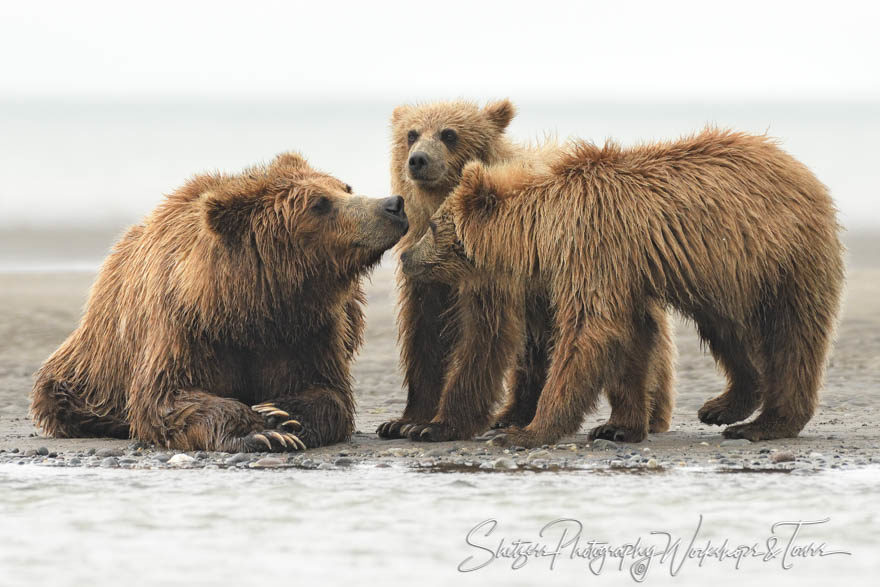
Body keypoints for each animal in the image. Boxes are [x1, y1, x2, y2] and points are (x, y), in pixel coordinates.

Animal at [30, 152, 410, 450]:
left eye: (344, 188)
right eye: (320, 204)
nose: (393, 204)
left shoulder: (305, 331)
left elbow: (328, 392)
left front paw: (281, 414)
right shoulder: (186, 329)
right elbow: (167, 396)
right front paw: (260, 433)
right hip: (92, 365)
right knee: (63, 395)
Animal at [400, 131, 844, 448]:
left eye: (435, 225)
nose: (406, 257)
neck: (544, 227)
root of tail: (804, 171)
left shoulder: (593, 247)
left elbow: (588, 331)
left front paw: (526, 432)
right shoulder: (626, 271)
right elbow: (632, 338)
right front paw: (618, 426)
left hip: (781, 258)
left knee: (792, 337)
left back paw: (766, 424)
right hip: (719, 277)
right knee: (725, 330)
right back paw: (722, 407)